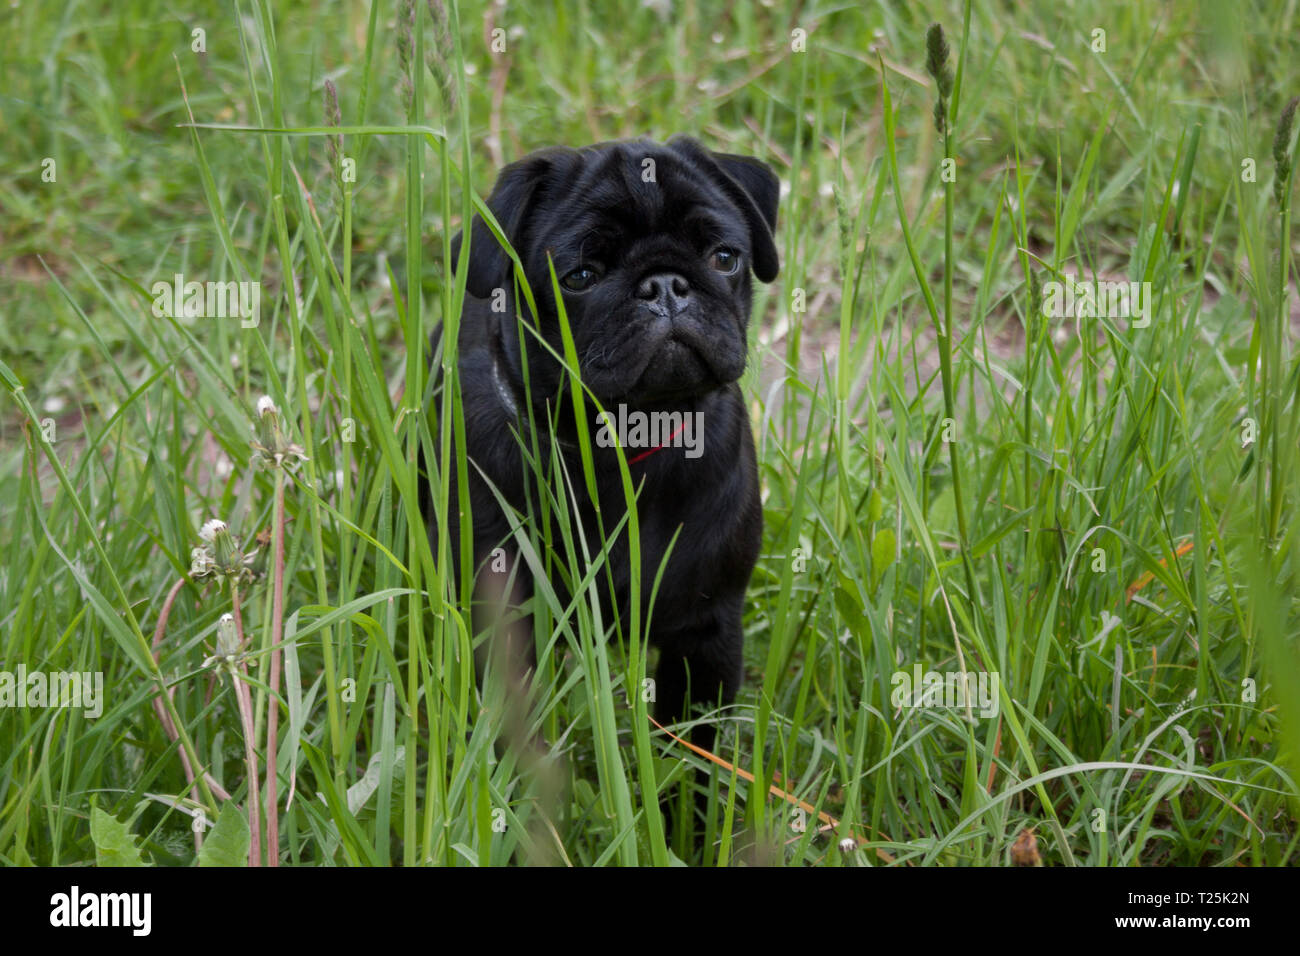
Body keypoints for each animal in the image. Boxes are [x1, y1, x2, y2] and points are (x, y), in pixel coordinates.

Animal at [421, 138, 774, 759]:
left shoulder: (707, 633)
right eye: (581, 276)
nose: (664, 285)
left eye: (724, 258)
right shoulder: (504, 629)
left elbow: (696, 751)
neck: (619, 450)